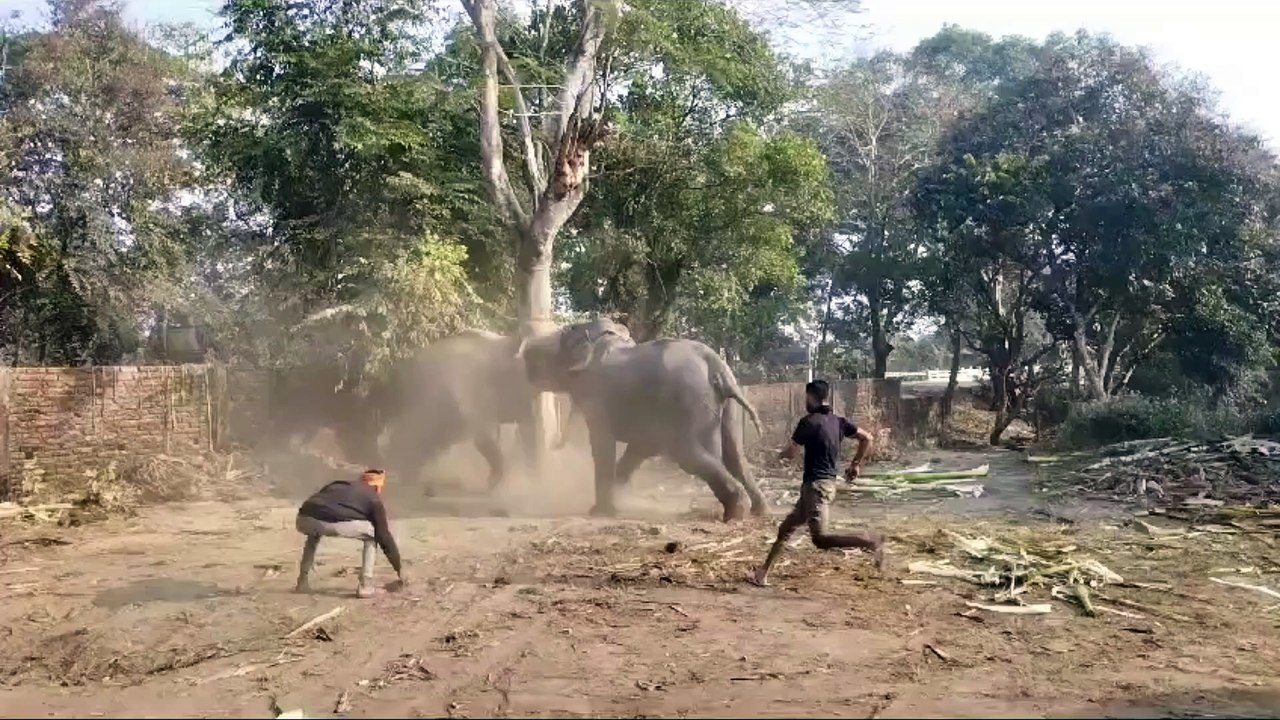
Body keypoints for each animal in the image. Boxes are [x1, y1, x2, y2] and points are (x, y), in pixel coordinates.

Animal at [515, 318, 767, 522]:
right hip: (721, 404)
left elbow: (602, 444)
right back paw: (758, 510)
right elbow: (640, 448)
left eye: (564, 335)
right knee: (734, 453)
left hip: (687, 400)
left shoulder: (596, 394)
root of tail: (715, 362)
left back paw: (736, 514)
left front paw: (600, 512)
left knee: (689, 454)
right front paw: (615, 499)